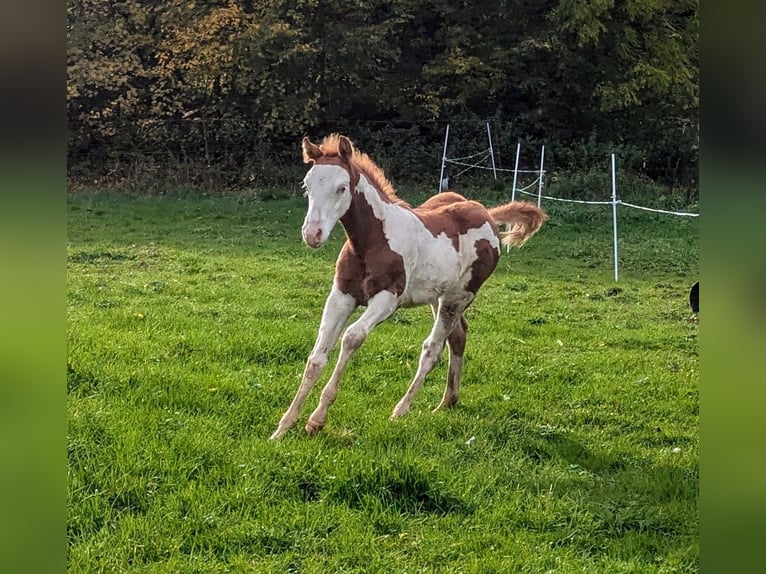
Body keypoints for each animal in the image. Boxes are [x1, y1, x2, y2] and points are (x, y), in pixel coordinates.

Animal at [270, 135, 544, 440]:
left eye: (341, 188)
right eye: (307, 186)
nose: (312, 235)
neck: (373, 241)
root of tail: (488, 214)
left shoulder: (387, 299)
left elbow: (351, 338)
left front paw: (317, 419)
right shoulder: (341, 295)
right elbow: (316, 358)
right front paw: (284, 426)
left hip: (457, 298)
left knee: (433, 348)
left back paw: (402, 409)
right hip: (438, 297)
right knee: (458, 335)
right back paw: (448, 401)